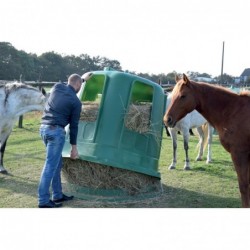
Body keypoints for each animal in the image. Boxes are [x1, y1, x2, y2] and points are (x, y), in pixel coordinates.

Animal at [164, 73, 250, 207]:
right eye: (172, 95)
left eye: (183, 96)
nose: (167, 119)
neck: (234, 111)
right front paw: (173, 164)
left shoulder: (240, 155)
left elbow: (244, 187)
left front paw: (186, 165)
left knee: (208, 141)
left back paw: (208, 159)